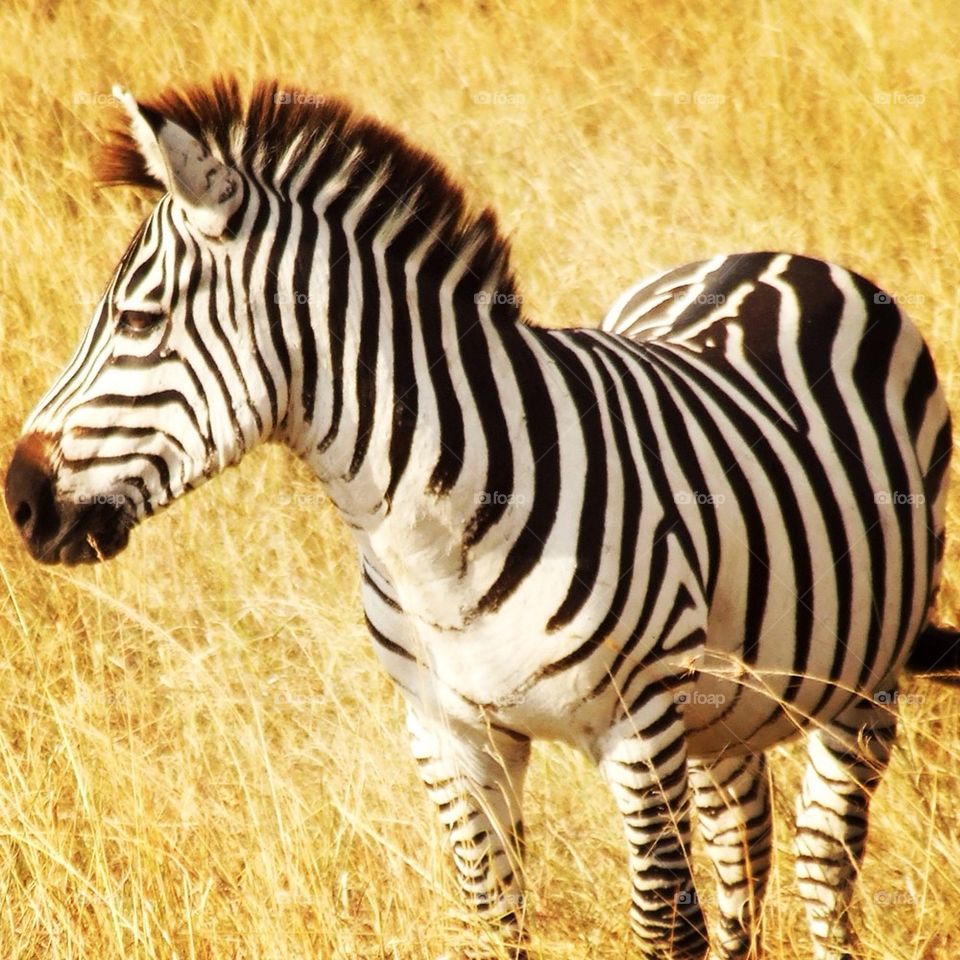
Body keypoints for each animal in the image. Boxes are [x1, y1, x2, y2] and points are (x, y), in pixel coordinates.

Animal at [3, 79, 956, 956]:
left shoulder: (640, 728)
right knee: (743, 845)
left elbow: (662, 926)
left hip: (863, 679)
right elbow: (490, 923)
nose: (19, 500)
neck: (433, 539)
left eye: (138, 320)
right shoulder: (450, 733)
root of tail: (778, 257)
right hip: (727, 699)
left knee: (822, 863)